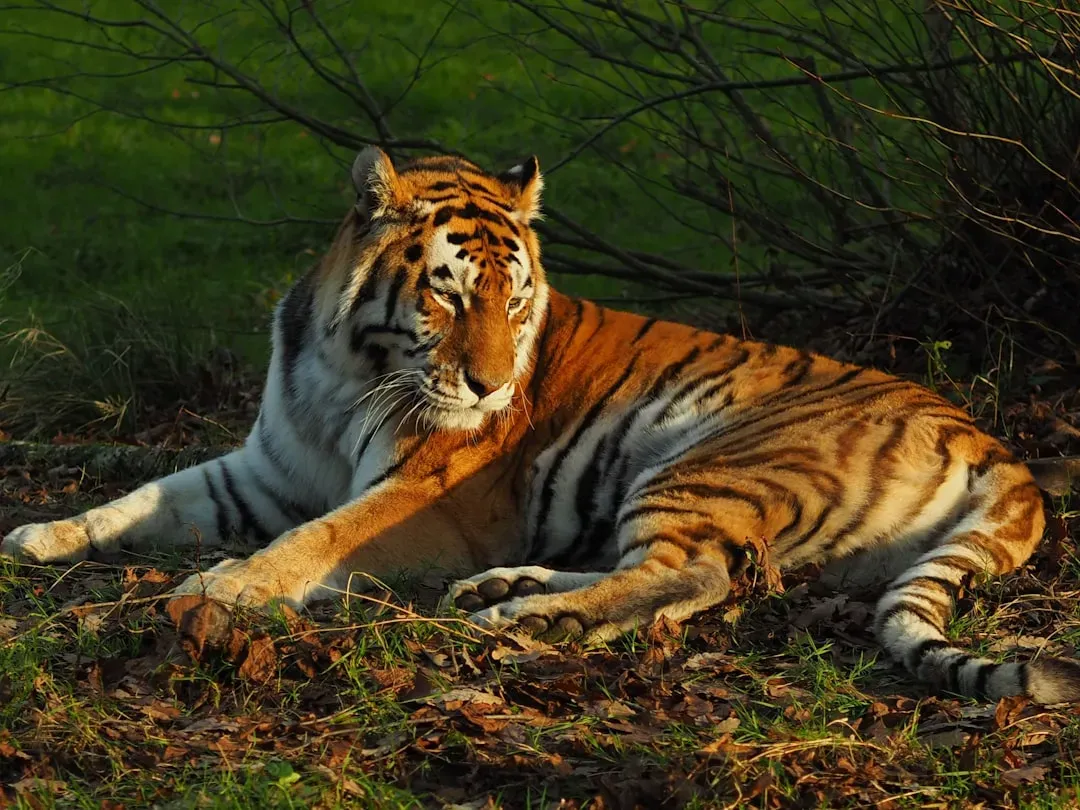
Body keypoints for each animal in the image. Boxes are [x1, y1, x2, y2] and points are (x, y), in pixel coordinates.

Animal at [4, 147, 1079, 704]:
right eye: (446, 293)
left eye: (515, 301)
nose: (486, 391)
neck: (340, 373)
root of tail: (990, 439)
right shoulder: (262, 471)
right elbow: (138, 497)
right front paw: (37, 535)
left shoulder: (422, 500)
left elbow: (316, 540)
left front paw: (224, 589)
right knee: (683, 578)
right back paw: (511, 589)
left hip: (707, 462)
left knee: (693, 576)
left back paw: (523, 617)